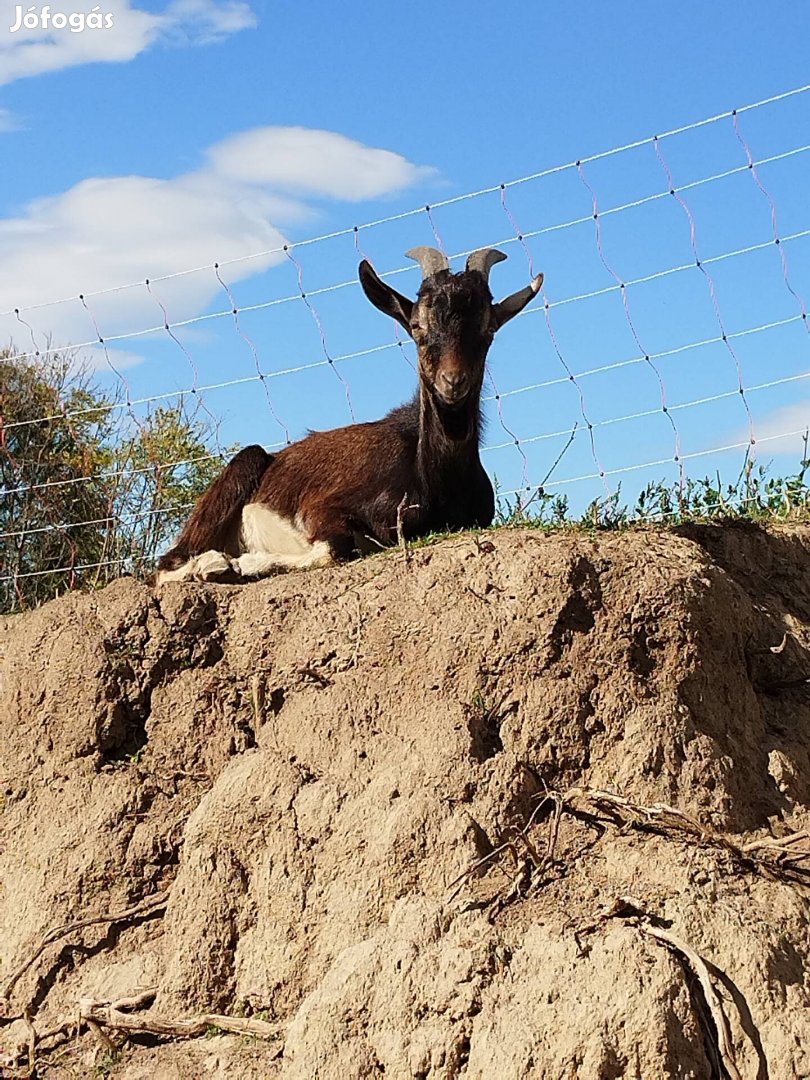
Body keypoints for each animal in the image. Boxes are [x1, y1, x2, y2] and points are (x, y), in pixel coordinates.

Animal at [155, 246, 542, 587]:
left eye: (488, 329)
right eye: (416, 327)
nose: (452, 382)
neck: (435, 481)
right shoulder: (322, 508)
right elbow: (335, 549)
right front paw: (240, 564)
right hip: (241, 468)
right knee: (165, 566)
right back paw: (212, 565)